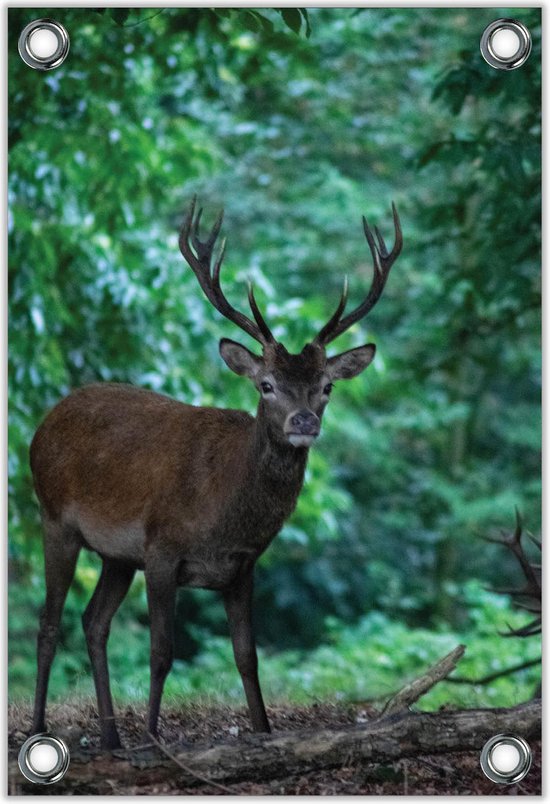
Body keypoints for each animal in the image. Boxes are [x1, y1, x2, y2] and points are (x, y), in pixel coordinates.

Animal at [29, 198, 402, 752]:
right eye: (267, 384)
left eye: (327, 386)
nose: (304, 422)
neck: (222, 513)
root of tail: (42, 425)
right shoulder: (162, 550)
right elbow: (162, 652)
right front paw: (154, 739)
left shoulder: (242, 567)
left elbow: (247, 657)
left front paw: (264, 732)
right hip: (55, 517)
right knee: (49, 622)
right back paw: (40, 728)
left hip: (116, 554)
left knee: (94, 622)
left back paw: (112, 738)